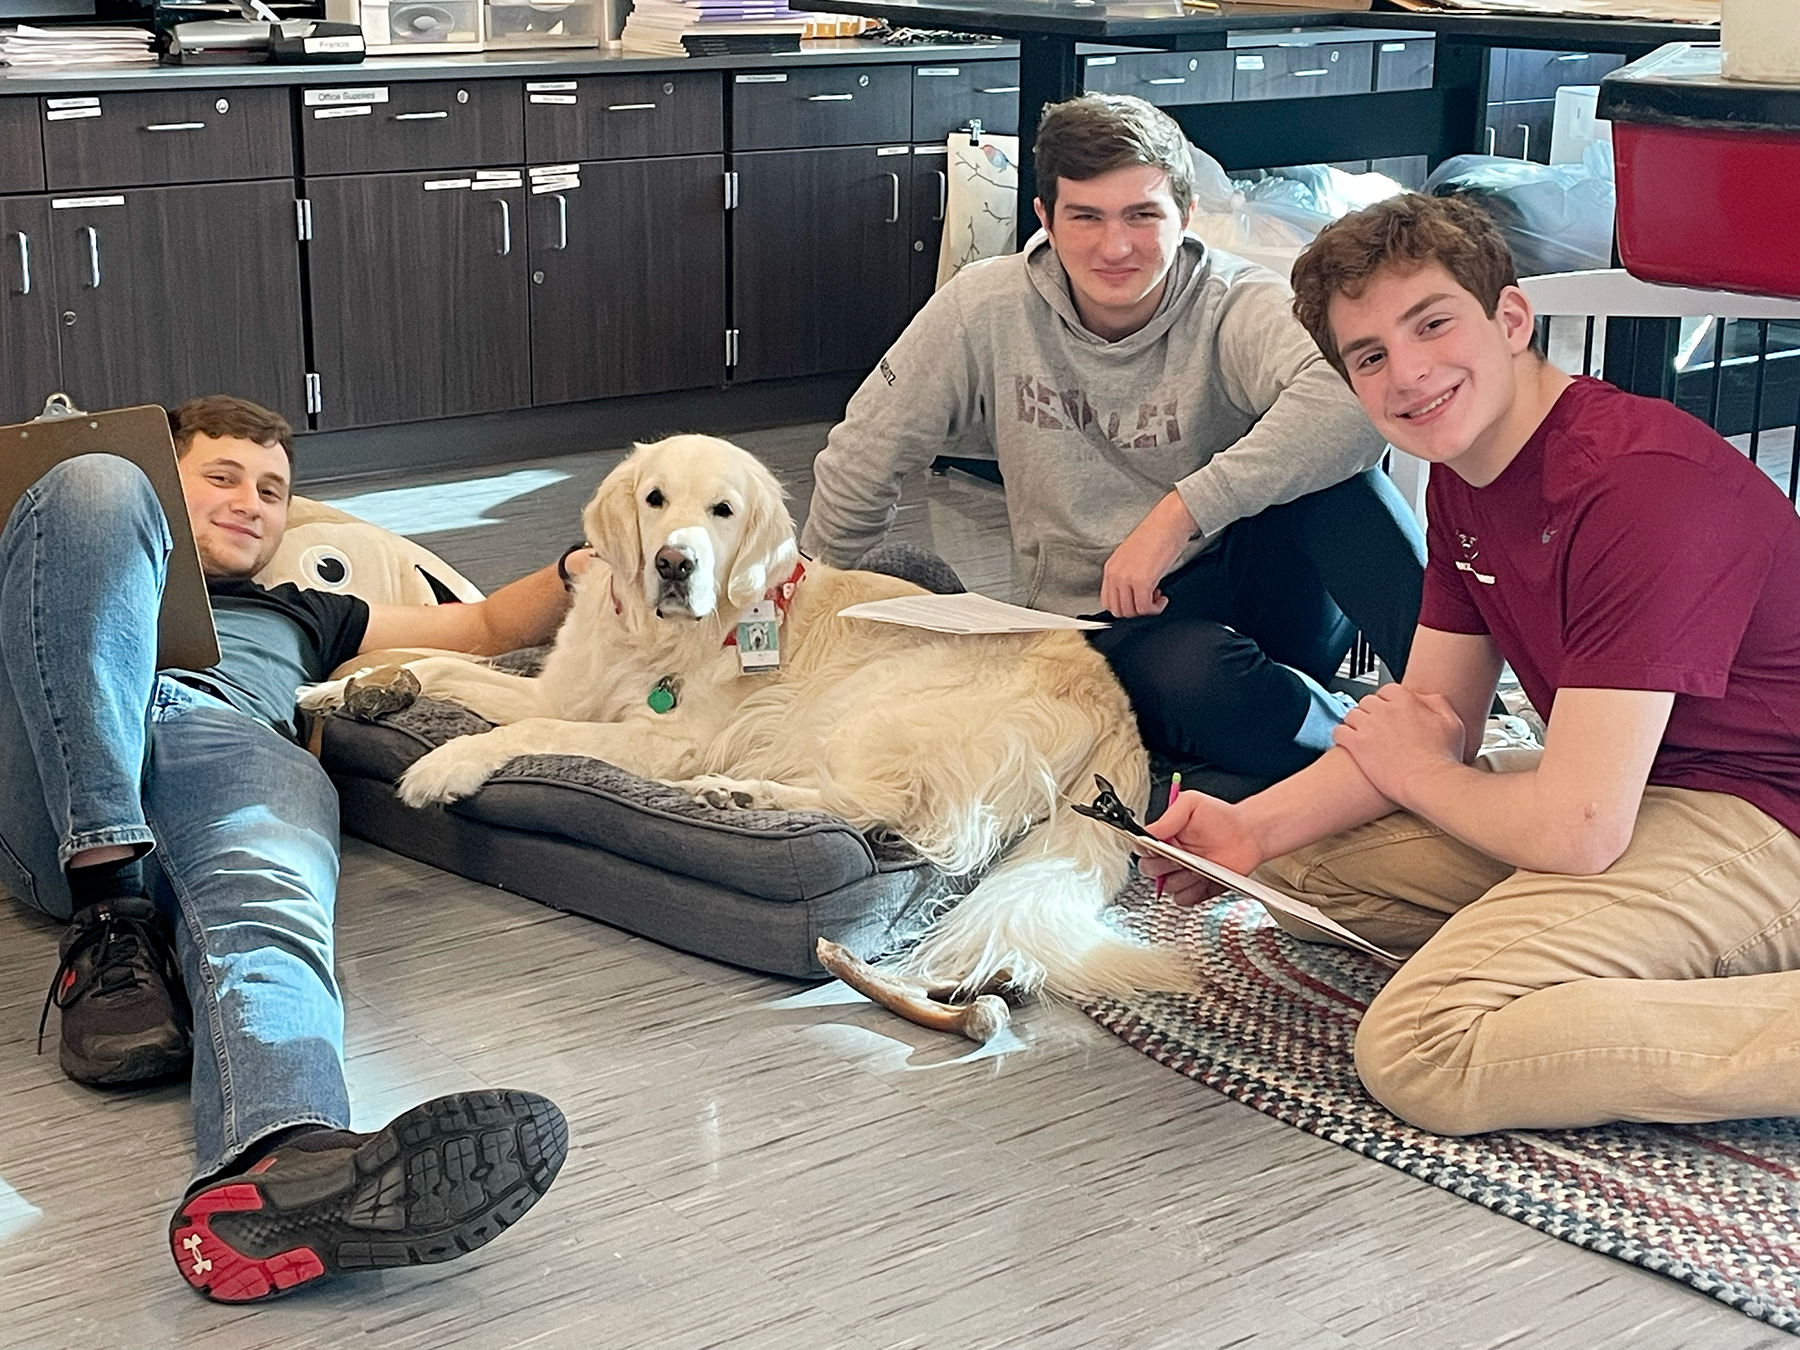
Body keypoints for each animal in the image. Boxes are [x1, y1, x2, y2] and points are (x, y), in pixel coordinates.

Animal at [316, 439, 1188, 1008]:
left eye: (723, 512)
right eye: (654, 499)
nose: (674, 563)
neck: (658, 635)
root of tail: (1122, 714)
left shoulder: (663, 739)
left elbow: (516, 735)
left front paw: (443, 764)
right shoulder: (558, 692)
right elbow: (445, 670)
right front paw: (344, 688)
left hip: (878, 706)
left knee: (886, 814)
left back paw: (742, 798)